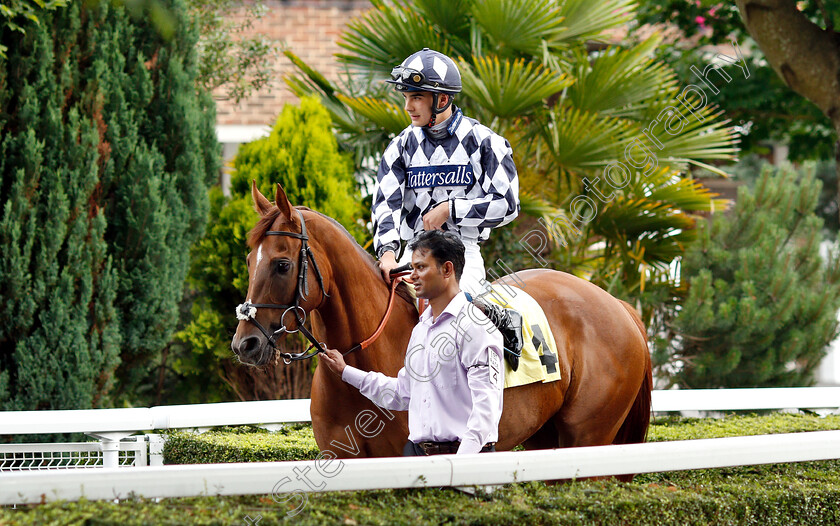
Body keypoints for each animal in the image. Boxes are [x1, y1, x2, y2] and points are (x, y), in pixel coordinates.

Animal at [233, 184, 652, 480]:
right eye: (249, 260)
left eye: (282, 264)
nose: (245, 344)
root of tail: (621, 307)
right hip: (545, 439)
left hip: (588, 437)